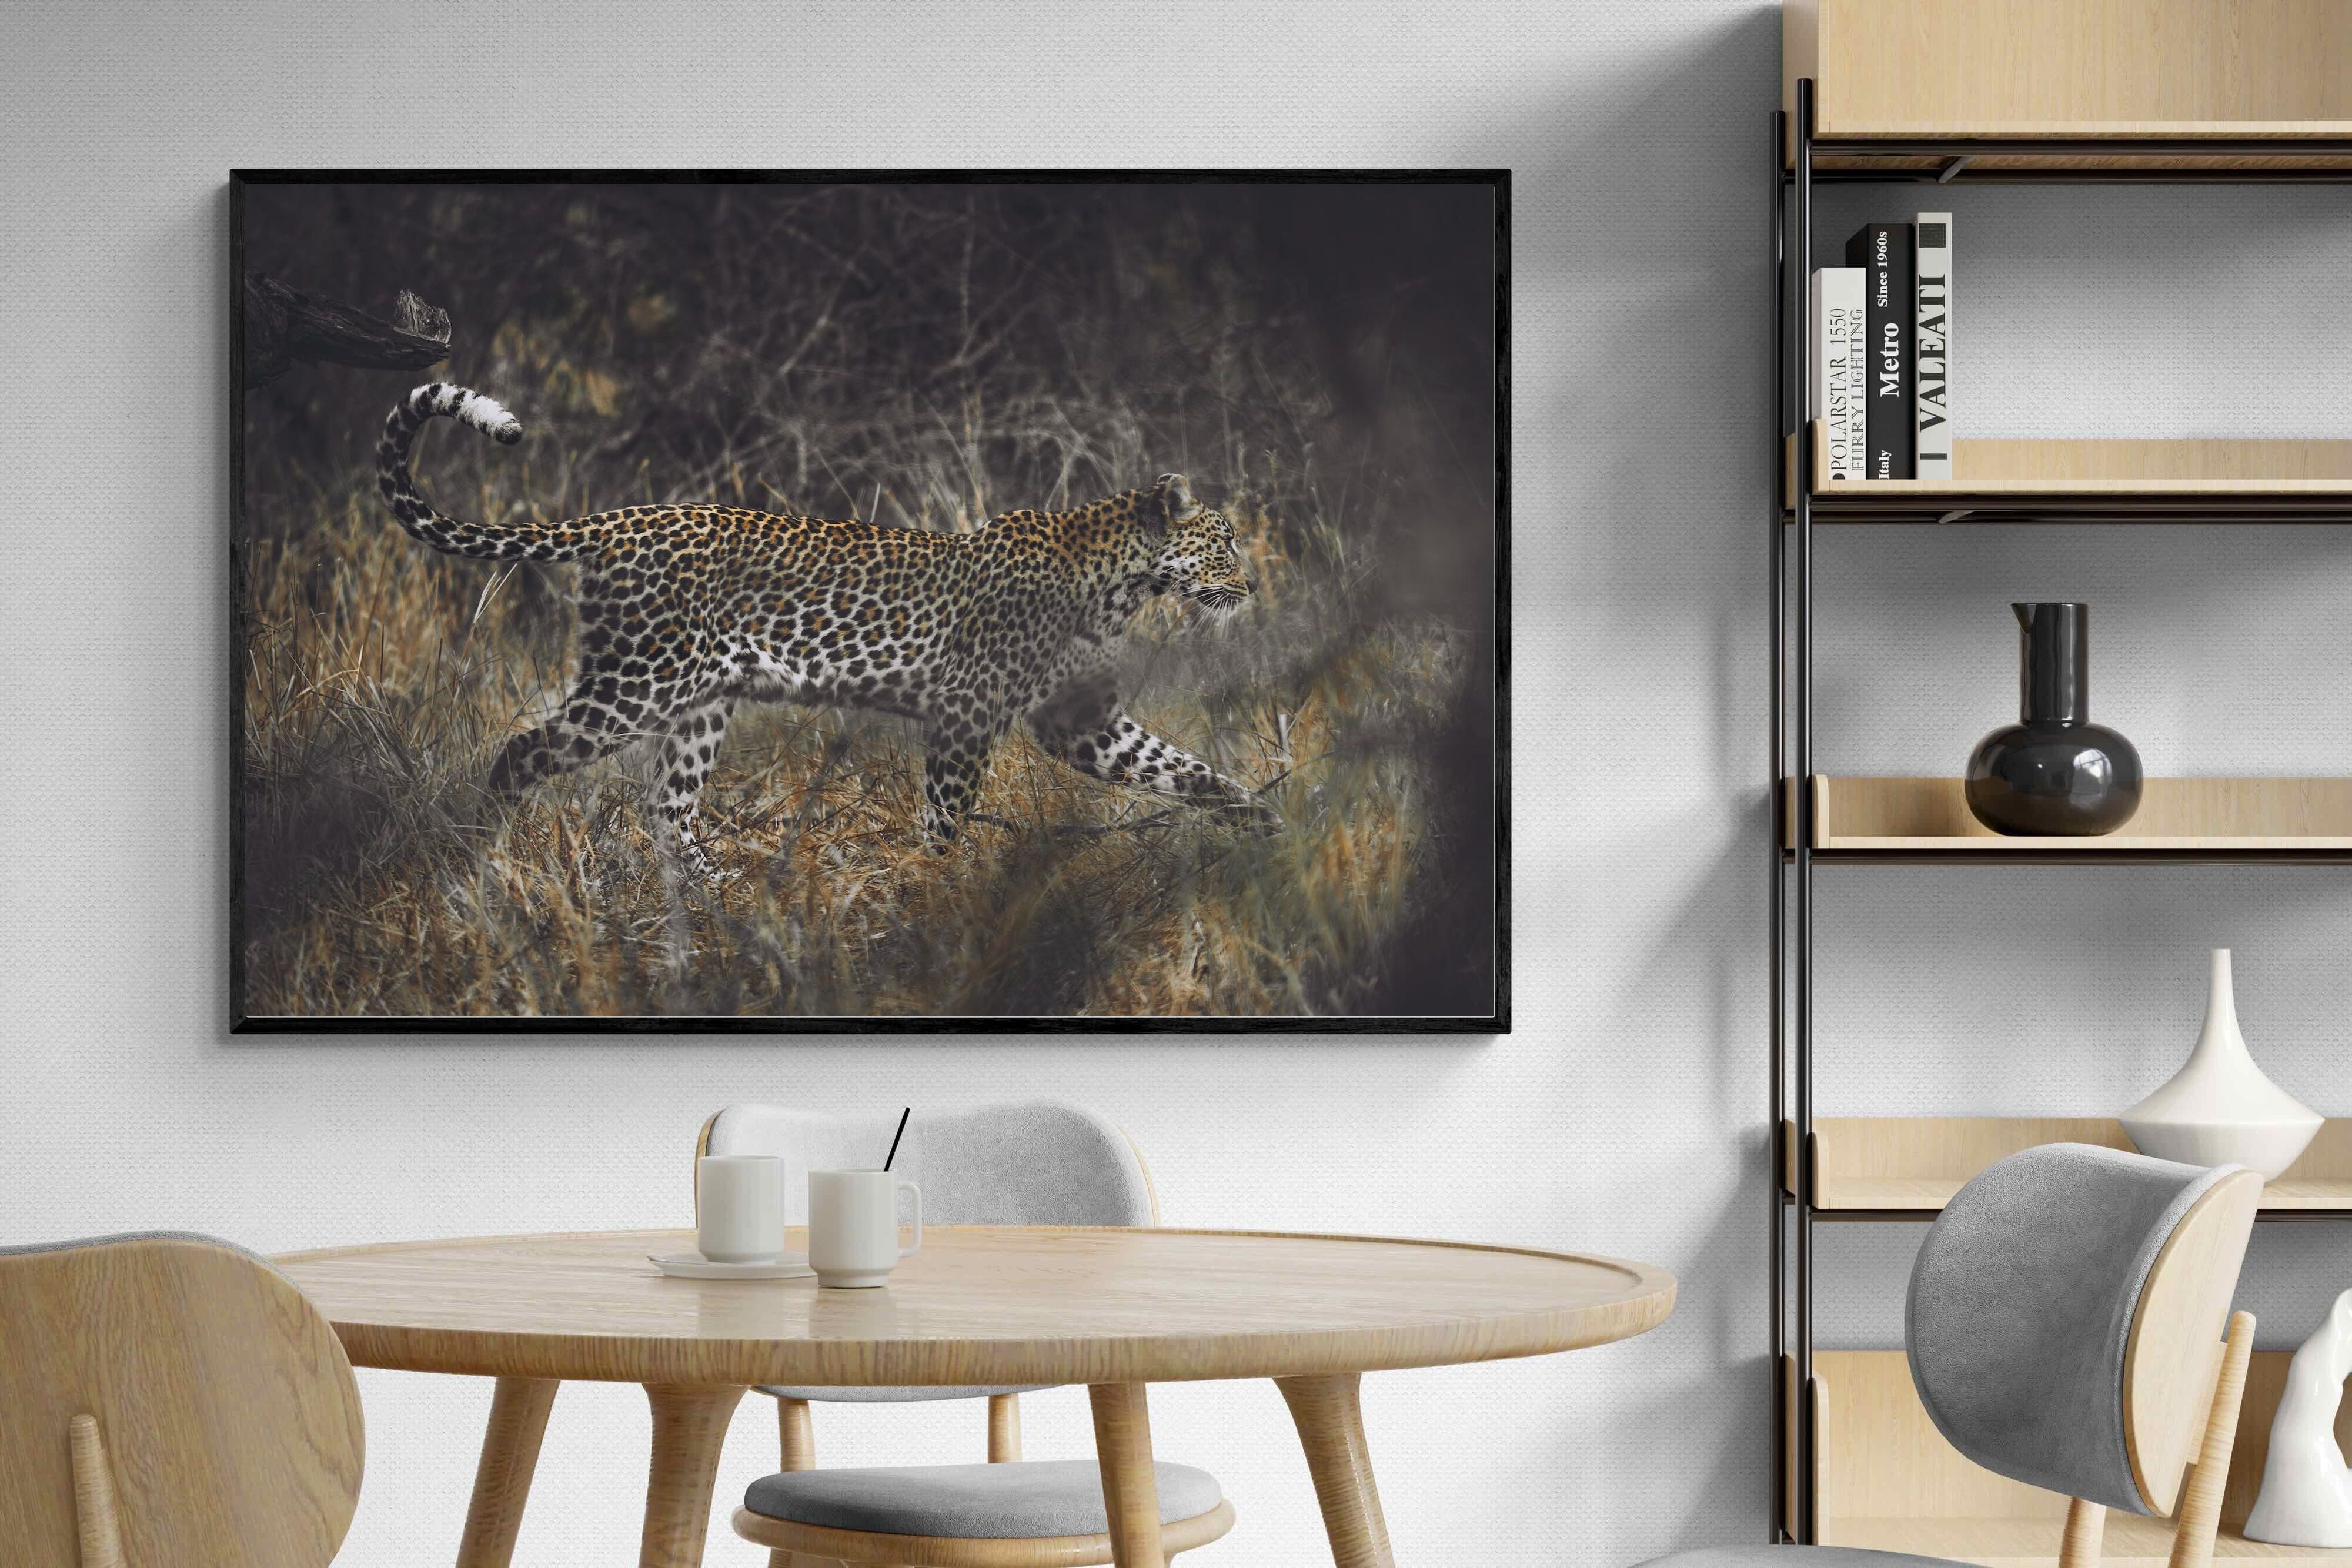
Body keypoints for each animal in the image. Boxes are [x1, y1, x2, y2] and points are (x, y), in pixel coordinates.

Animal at [375, 381, 1275, 877]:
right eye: (1225, 540)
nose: (1254, 583)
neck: (1121, 583)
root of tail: (617, 519)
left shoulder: (1079, 722)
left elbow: (1181, 768)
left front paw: (1264, 821)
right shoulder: (967, 711)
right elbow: (946, 814)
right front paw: (935, 893)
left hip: (701, 701)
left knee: (667, 806)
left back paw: (721, 902)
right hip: (637, 682)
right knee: (521, 753)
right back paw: (484, 857)